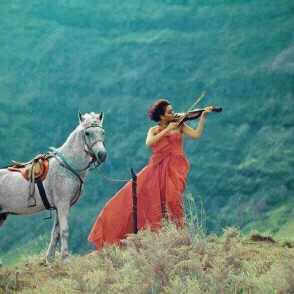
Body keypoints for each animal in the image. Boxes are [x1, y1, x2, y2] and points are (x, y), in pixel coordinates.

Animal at [0, 111, 107, 262]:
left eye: (102, 132)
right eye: (87, 133)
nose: (102, 155)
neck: (67, 166)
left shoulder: (59, 206)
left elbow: (55, 233)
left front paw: (50, 260)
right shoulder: (63, 204)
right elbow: (64, 230)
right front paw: (65, 258)